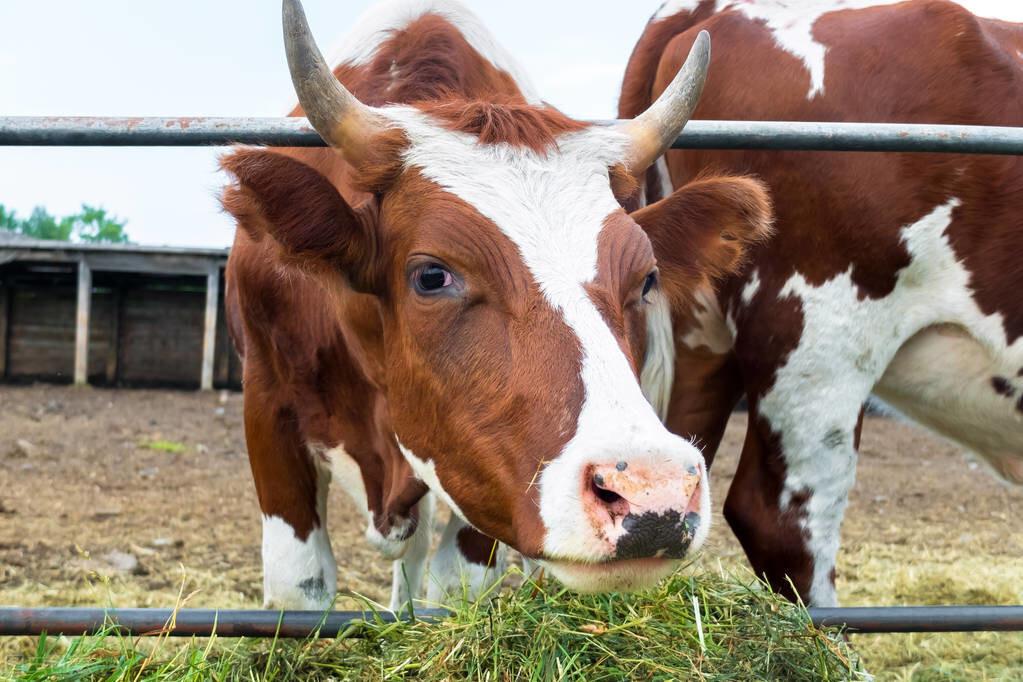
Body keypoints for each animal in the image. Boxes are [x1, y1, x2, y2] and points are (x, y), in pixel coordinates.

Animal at [221, 0, 769, 609]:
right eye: (431, 275)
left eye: (646, 278)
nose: (653, 491)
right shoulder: (266, 401)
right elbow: (299, 585)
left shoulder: (483, 466)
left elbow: (455, 587)